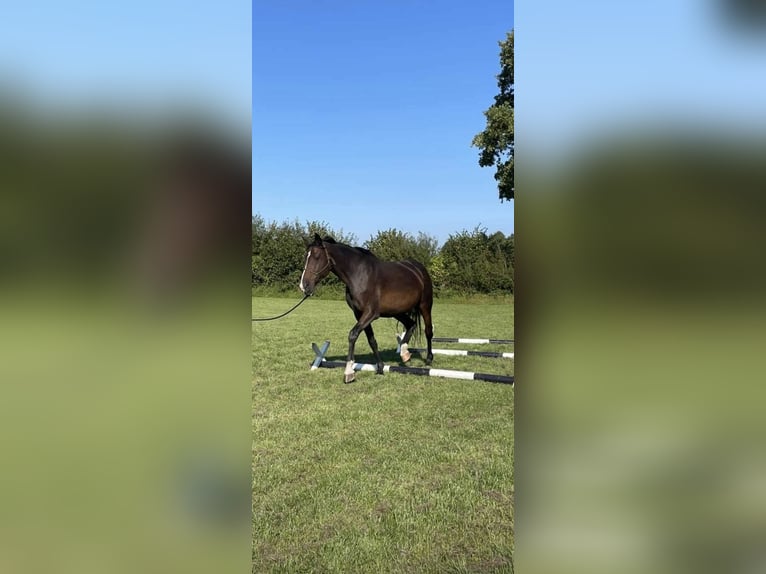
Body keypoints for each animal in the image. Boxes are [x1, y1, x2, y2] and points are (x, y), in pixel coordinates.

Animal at [300, 232, 436, 384]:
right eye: (306, 256)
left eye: (317, 256)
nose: (304, 285)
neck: (359, 274)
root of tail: (418, 268)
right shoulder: (359, 314)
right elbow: (371, 340)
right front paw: (380, 367)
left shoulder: (370, 313)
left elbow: (352, 335)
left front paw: (349, 372)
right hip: (396, 311)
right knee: (411, 325)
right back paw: (405, 353)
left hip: (425, 305)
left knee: (428, 331)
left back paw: (428, 359)